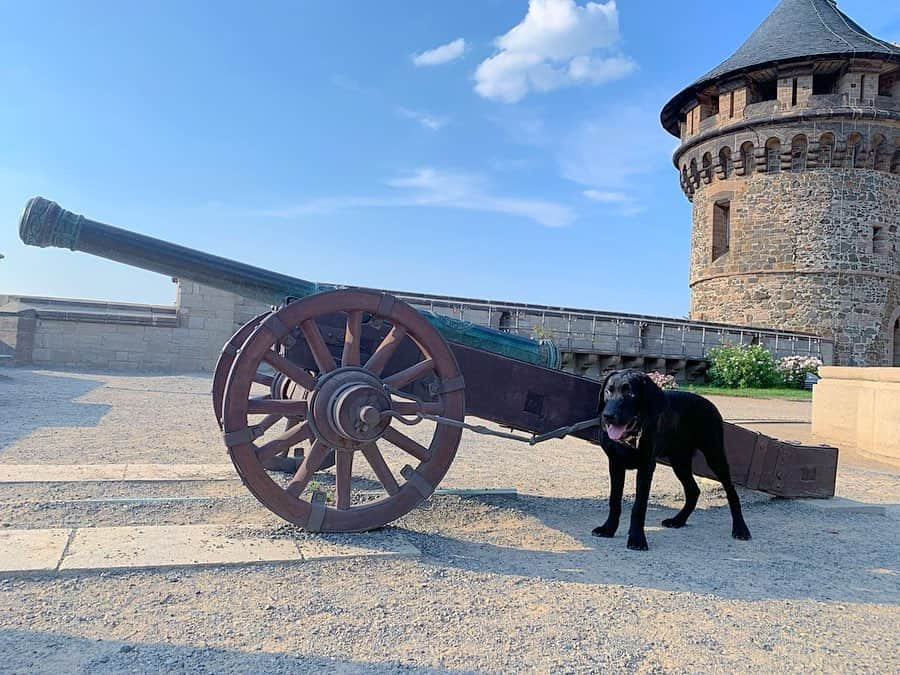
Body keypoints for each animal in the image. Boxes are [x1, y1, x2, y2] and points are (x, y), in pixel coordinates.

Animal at [596, 372, 748, 552]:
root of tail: (708, 402)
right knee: (693, 491)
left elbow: (639, 506)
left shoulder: (646, 467)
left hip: (715, 456)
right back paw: (678, 520)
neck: (631, 438)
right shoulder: (615, 464)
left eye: (631, 394)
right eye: (608, 391)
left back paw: (740, 529)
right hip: (679, 462)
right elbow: (614, 501)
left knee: (731, 493)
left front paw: (637, 538)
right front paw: (608, 529)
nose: (607, 416)